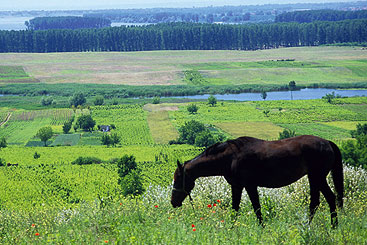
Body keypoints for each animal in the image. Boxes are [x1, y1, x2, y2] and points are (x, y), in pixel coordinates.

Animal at [172, 135, 344, 227]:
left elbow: (257, 208)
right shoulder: (237, 186)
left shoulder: (250, 186)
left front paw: (262, 228)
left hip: (318, 177)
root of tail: (327, 142)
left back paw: (331, 227)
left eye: (178, 178)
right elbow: (235, 209)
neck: (230, 157)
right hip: (314, 178)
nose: (173, 202)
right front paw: (231, 228)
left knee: (328, 199)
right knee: (317, 202)